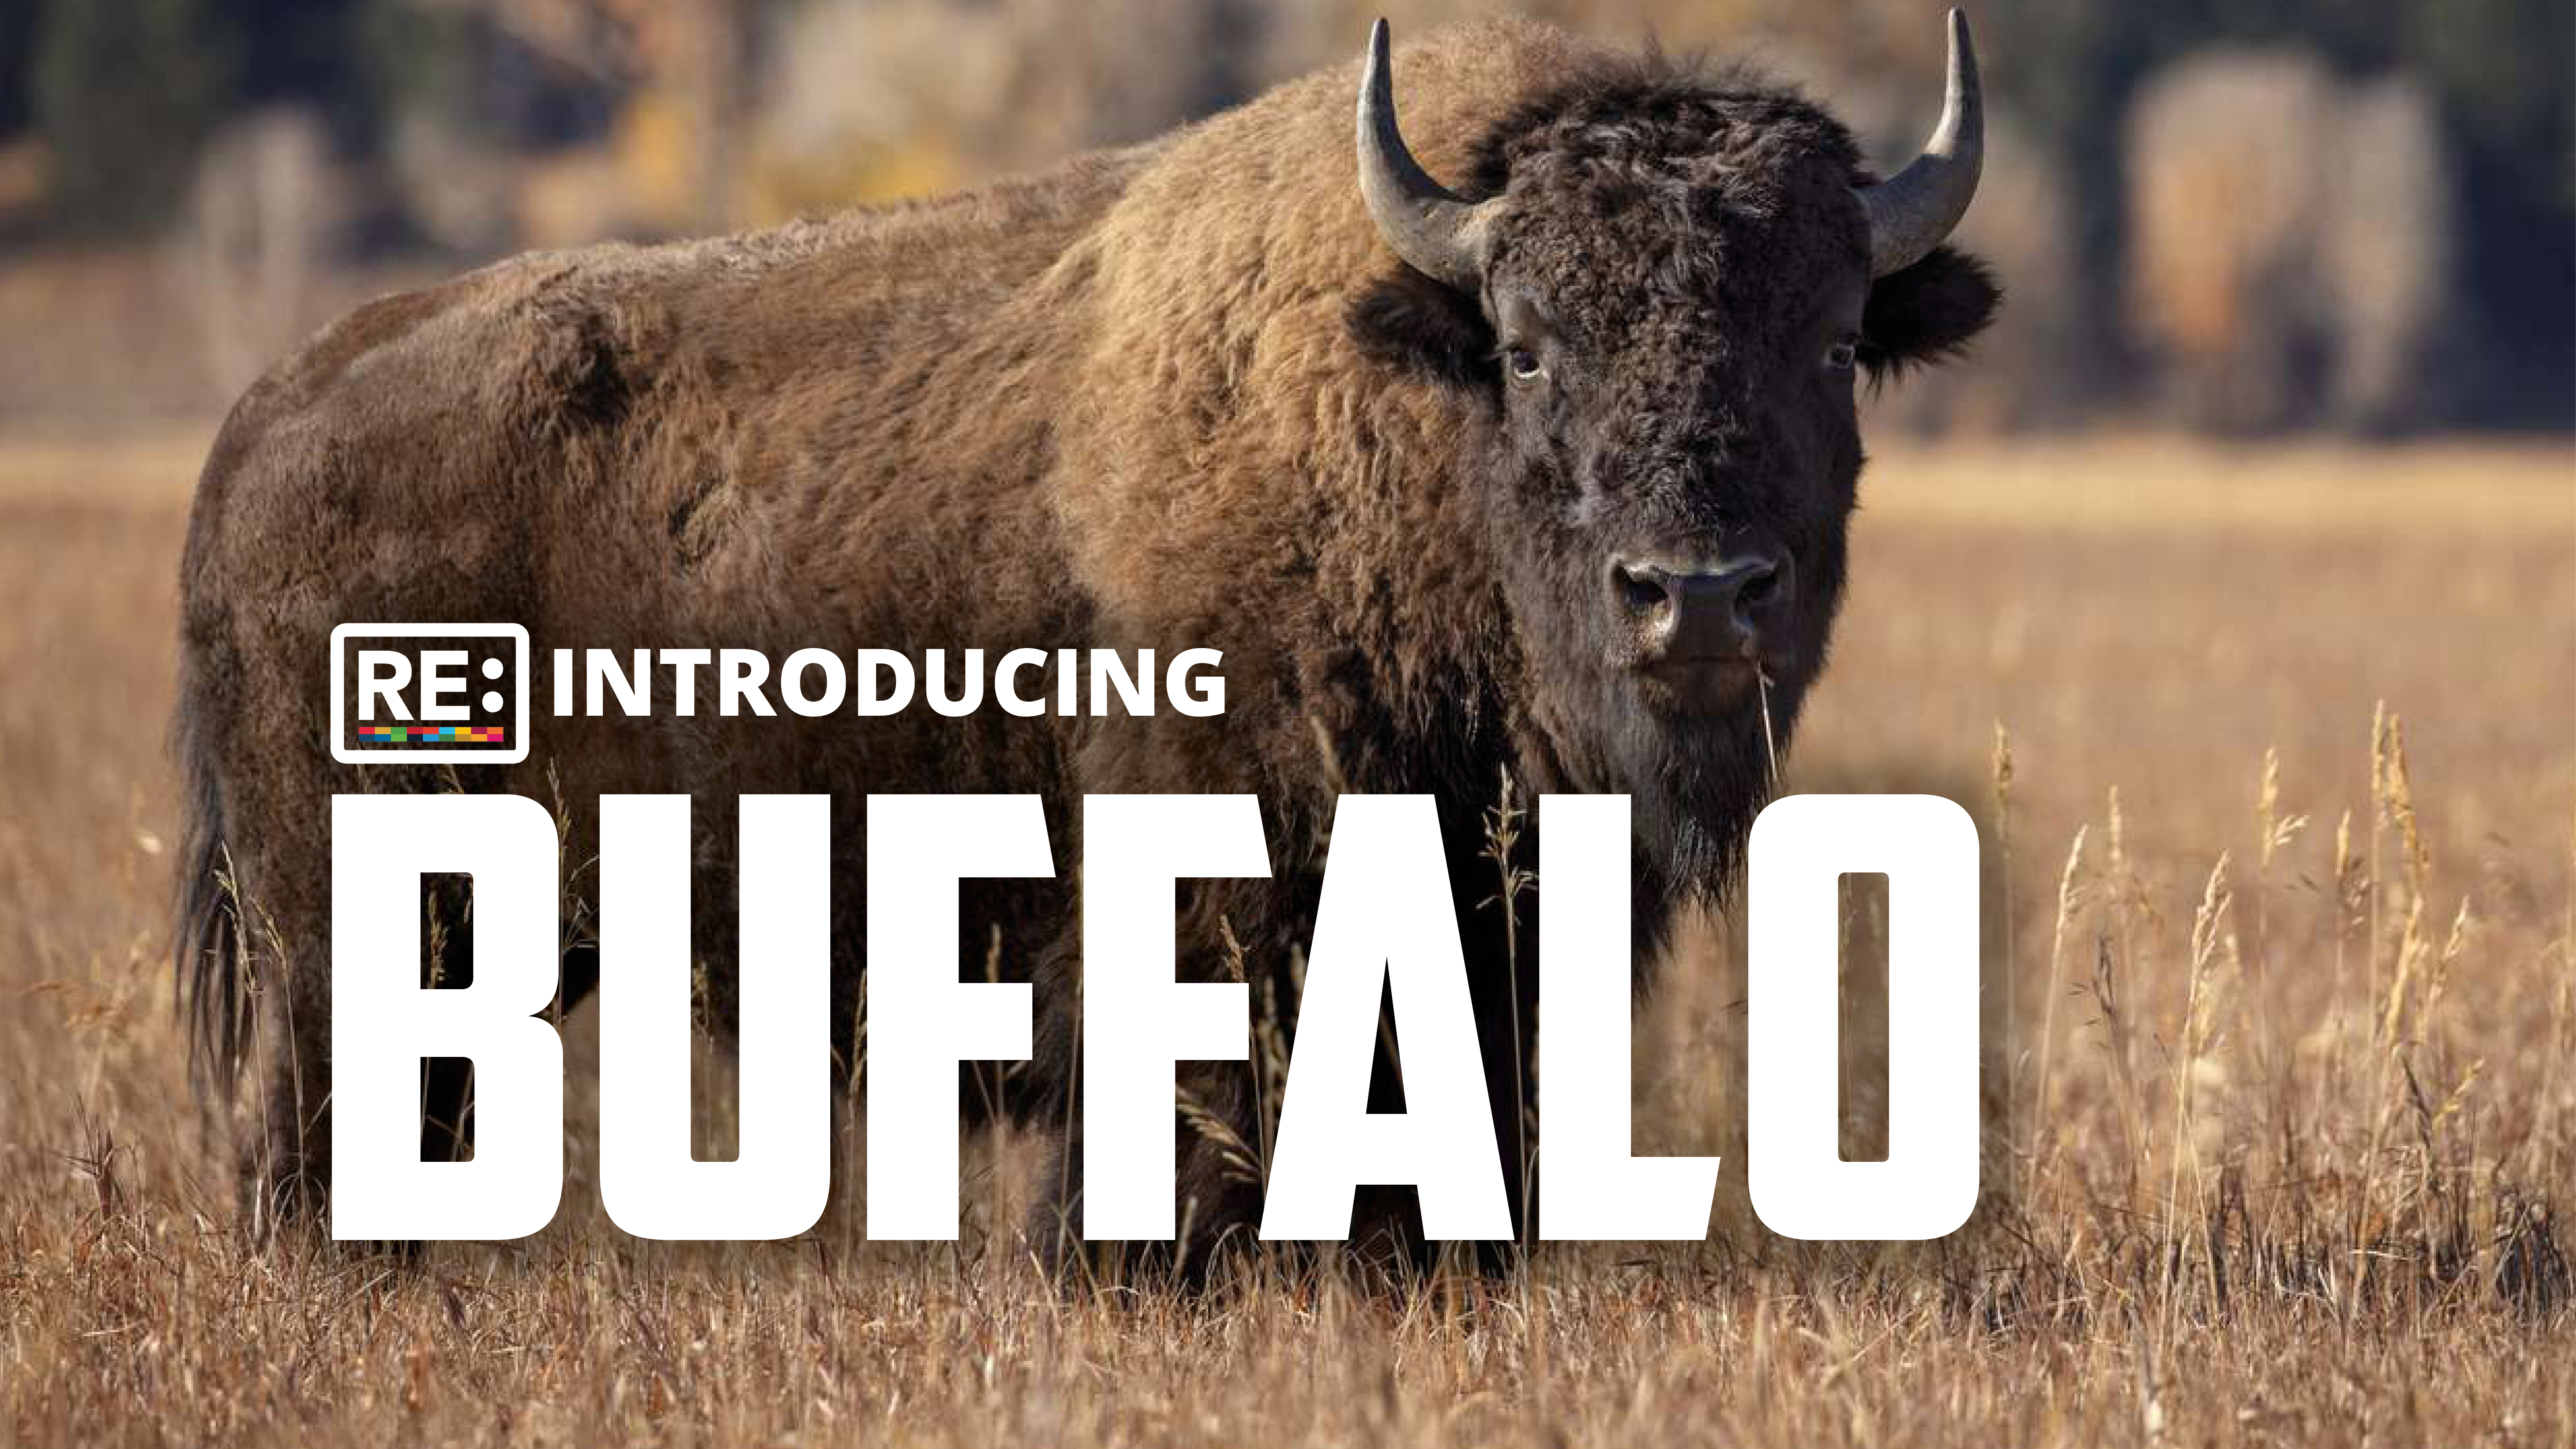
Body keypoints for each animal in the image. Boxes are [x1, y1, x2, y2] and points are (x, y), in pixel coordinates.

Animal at [175, 12, 1997, 1270]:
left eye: (1831, 341)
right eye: (1532, 345)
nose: (1696, 593)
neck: (1399, 415)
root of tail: (265, 416)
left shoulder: (1485, 974)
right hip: (356, 954)